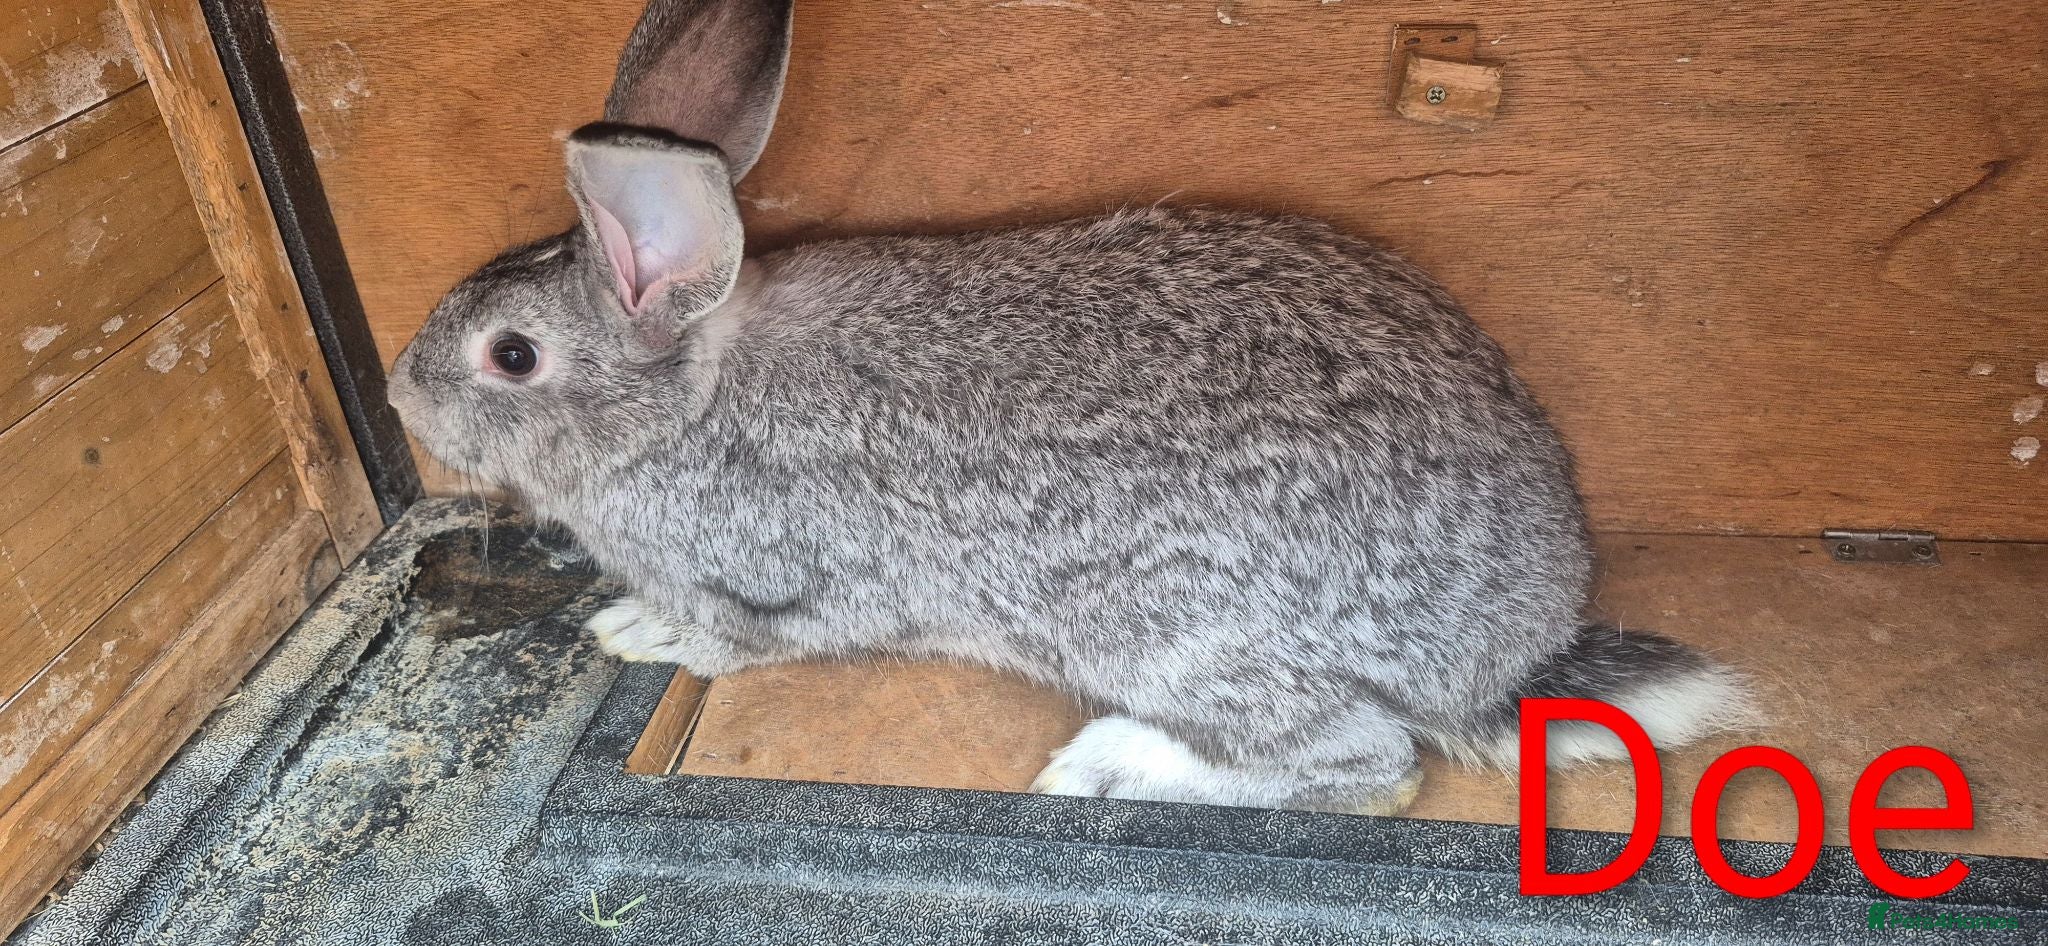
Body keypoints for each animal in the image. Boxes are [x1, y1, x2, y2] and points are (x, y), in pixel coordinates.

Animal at [386, 0, 1754, 815]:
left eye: (511, 356)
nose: (402, 394)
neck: (682, 401)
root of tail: (1502, 654)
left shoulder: (786, 584)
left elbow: (740, 639)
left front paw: (640, 629)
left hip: (1171, 632)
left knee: (1366, 768)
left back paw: (1102, 768)